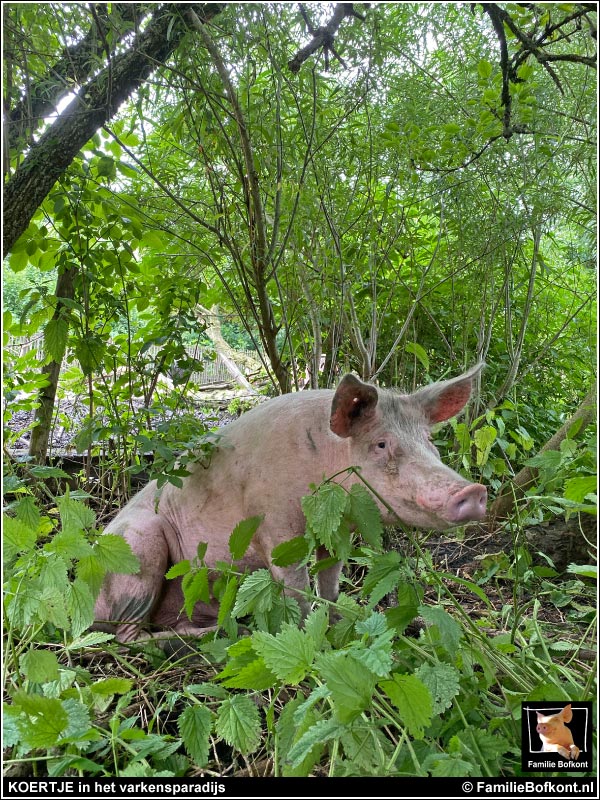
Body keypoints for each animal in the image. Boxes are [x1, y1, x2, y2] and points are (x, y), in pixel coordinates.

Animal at [92, 364, 488, 644]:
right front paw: (305, 636)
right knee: (126, 637)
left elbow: (330, 579)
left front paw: (339, 623)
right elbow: (295, 588)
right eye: (381, 444)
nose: (473, 491)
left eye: (429, 442)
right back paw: (217, 635)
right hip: (136, 551)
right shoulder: (276, 525)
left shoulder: (336, 528)